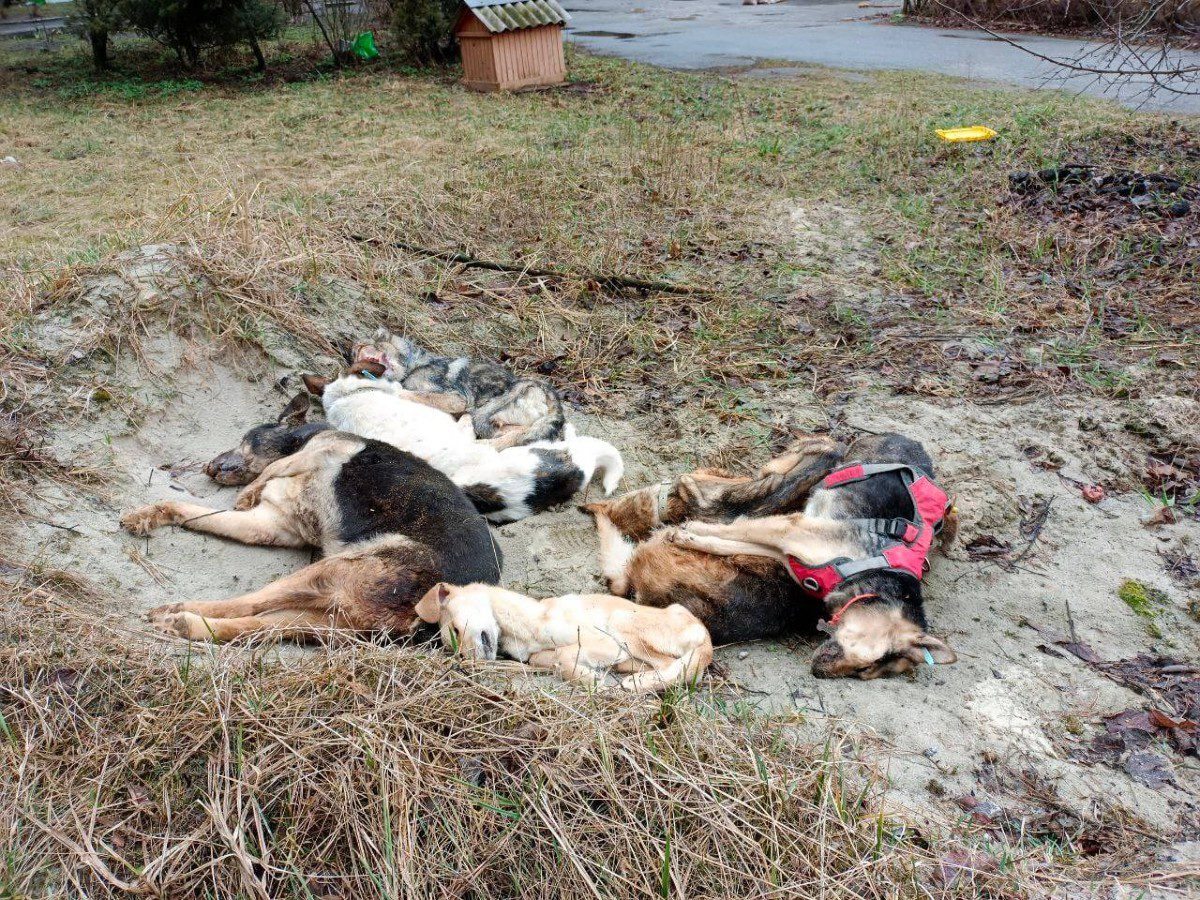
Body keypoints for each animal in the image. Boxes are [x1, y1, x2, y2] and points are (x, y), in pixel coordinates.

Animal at [118, 427, 501, 643]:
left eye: (246, 440)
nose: (209, 466)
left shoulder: (322, 450)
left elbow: (272, 469)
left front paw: (248, 491)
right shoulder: (267, 524)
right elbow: (188, 510)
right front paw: (147, 515)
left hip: (331, 572)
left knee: (249, 603)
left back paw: (178, 610)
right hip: (333, 619)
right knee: (256, 625)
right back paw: (185, 625)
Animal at [352, 328, 564, 451]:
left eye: (360, 347)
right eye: (353, 354)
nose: (354, 358)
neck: (414, 363)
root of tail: (550, 393)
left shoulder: (456, 398)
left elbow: (415, 394)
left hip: (483, 416)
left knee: (519, 434)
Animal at [417, 580, 710, 696]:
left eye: (456, 630)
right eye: (455, 651)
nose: (470, 665)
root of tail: (704, 633)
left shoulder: (607, 642)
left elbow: (565, 655)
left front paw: (591, 679)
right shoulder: (535, 657)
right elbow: (554, 659)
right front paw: (588, 675)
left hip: (622, 621)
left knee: (679, 668)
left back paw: (638, 683)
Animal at [580, 434, 955, 681]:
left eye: (865, 672)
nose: (820, 673)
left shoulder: (785, 536)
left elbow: (730, 530)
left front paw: (689, 531)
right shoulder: (787, 531)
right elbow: (732, 531)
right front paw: (690, 531)